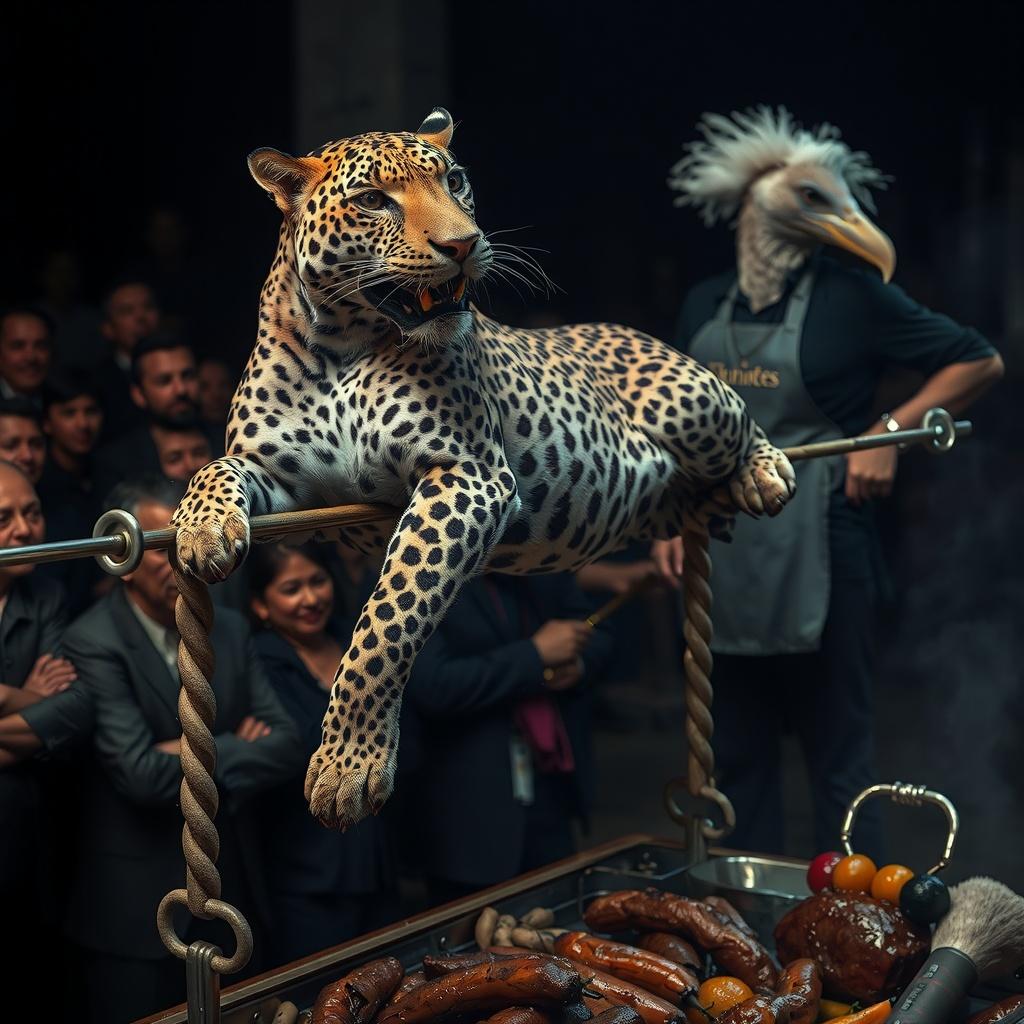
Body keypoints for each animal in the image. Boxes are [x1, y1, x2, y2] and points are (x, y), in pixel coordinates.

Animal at [172, 107, 796, 829]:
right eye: (374, 200)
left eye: (455, 181)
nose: (464, 244)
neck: (340, 346)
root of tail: (623, 327)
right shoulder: (279, 476)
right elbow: (215, 468)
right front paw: (203, 530)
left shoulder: (466, 474)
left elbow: (386, 623)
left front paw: (347, 767)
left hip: (689, 399)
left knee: (742, 418)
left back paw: (765, 473)